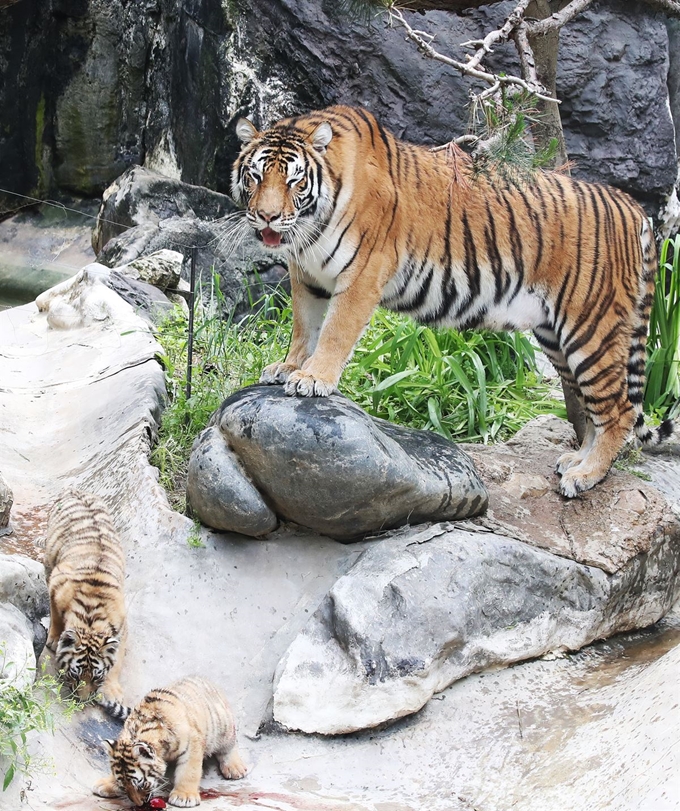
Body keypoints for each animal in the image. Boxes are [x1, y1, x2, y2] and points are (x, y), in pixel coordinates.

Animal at [44, 492, 129, 720]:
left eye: (97, 677)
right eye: (75, 674)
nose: (81, 702)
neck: (91, 619)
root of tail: (76, 491)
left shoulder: (122, 625)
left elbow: (117, 661)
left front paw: (113, 692)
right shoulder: (57, 580)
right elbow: (56, 616)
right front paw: (54, 639)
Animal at [93, 676, 247, 808]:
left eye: (141, 785)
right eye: (124, 786)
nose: (139, 804)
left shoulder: (192, 744)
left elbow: (189, 771)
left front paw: (183, 797)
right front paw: (105, 784)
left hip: (223, 726)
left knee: (229, 746)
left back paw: (235, 768)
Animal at [230, 104, 676, 498]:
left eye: (294, 181)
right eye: (255, 176)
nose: (267, 217)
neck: (308, 227)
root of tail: (633, 206)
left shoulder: (361, 274)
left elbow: (335, 332)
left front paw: (313, 378)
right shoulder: (307, 277)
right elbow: (304, 326)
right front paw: (288, 367)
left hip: (591, 330)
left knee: (618, 410)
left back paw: (585, 476)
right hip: (557, 338)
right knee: (594, 407)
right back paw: (576, 461)